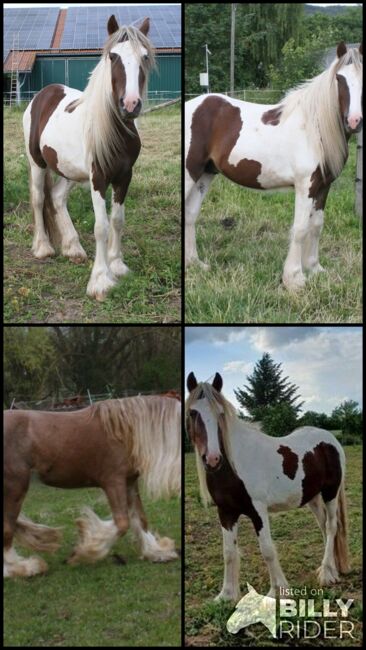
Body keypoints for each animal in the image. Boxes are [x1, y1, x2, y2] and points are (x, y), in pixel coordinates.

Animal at [2, 392, 180, 576]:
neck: (124, 432)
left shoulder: (129, 483)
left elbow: (140, 519)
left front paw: (156, 552)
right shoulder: (113, 482)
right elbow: (122, 523)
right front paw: (84, 551)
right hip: (15, 487)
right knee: (7, 528)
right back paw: (21, 568)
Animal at [22, 15, 154, 298]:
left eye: (144, 56)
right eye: (113, 56)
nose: (130, 104)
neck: (114, 131)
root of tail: (43, 94)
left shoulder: (124, 176)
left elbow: (117, 220)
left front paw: (117, 265)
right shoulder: (99, 178)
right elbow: (101, 225)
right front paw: (100, 281)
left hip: (70, 170)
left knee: (57, 197)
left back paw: (73, 248)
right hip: (37, 162)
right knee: (39, 199)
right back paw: (43, 248)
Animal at [186, 41, 364, 290]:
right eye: (339, 78)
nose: (355, 121)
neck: (313, 128)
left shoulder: (323, 186)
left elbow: (316, 225)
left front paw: (315, 269)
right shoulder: (305, 186)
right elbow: (300, 229)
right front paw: (294, 279)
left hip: (205, 174)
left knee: (190, 214)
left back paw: (195, 263)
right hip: (190, 172)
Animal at [187, 372, 350, 600]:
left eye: (220, 414)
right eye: (193, 413)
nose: (212, 459)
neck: (236, 464)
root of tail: (330, 439)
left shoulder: (258, 511)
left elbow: (267, 550)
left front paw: (278, 591)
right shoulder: (225, 512)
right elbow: (228, 552)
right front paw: (226, 595)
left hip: (330, 492)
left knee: (332, 526)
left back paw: (326, 574)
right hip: (313, 497)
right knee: (324, 526)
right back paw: (331, 569)